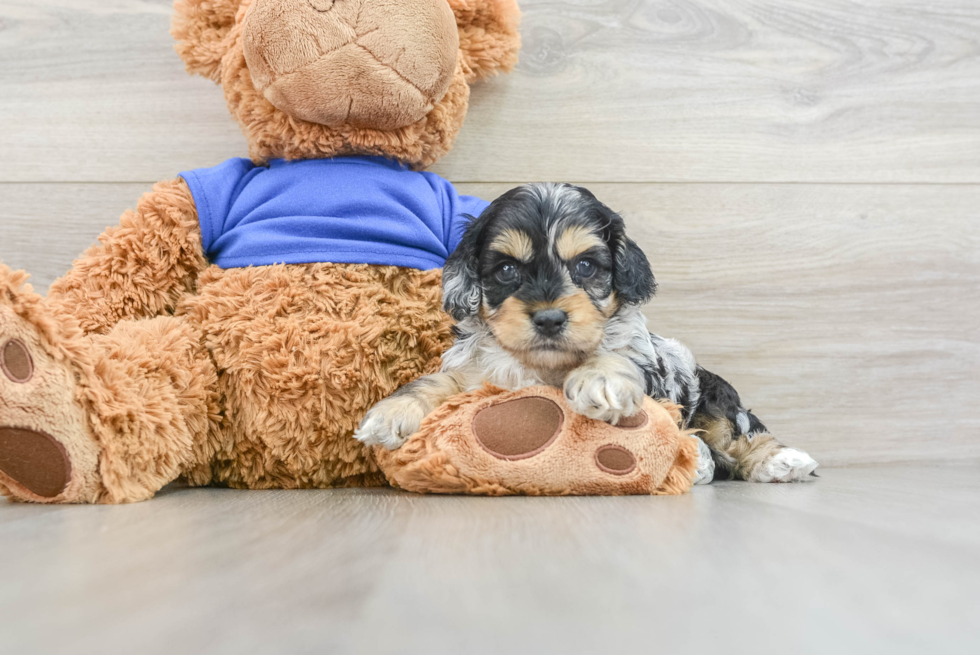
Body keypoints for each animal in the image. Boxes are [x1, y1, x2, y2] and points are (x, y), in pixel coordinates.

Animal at [356, 183, 816, 482]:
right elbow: (437, 380)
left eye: (585, 266)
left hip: (715, 398)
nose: (548, 319)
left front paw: (601, 381)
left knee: (737, 434)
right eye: (506, 270)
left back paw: (781, 461)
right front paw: (392, 413)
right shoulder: (478, 375)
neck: (546, 365)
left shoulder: (644, 364)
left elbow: (615, 354)